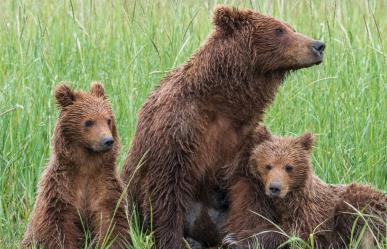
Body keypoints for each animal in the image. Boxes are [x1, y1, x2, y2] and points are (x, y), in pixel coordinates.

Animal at [21, 82, 130, 248]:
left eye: (108, 119)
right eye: (89, 121)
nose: (108, 141)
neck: (87, 164)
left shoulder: (105, 186)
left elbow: (111, 221)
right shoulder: (61, 189)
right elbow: (59, 225)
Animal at [121, 4, 324, 248]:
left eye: (290, 27)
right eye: (279, 30)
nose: (318, 45)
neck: (223, 103)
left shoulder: (242, 139)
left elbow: (247, 193)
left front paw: (241, 238)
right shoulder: (178, 129)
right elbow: (166, 189)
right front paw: (172, 239)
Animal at [226, 127, 386, 248]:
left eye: (288, 167)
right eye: (268, 166)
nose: (275, 188)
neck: (286, 200)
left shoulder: (309, 212)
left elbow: (296, 232)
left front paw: (236, 239)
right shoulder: (259, 198)